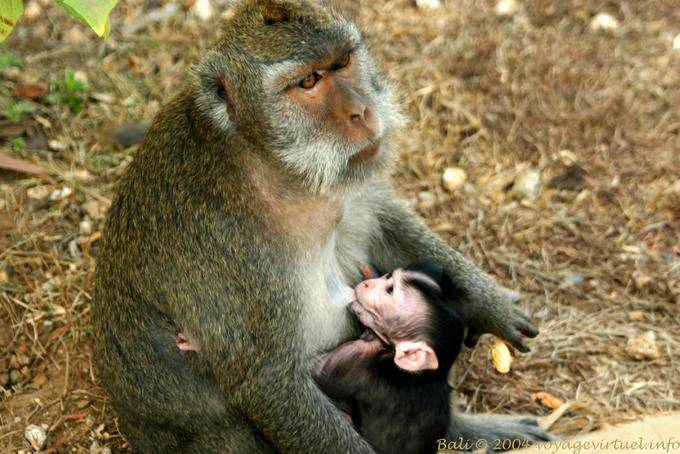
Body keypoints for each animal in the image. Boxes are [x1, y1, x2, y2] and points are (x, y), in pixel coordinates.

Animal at [91, 1, 551, 452]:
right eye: (308, 82)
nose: (360, 111)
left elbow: (387, 221)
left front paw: (490, 304)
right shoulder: (226, 249)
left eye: (342, 62)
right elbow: (268, 381)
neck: (272, 165)